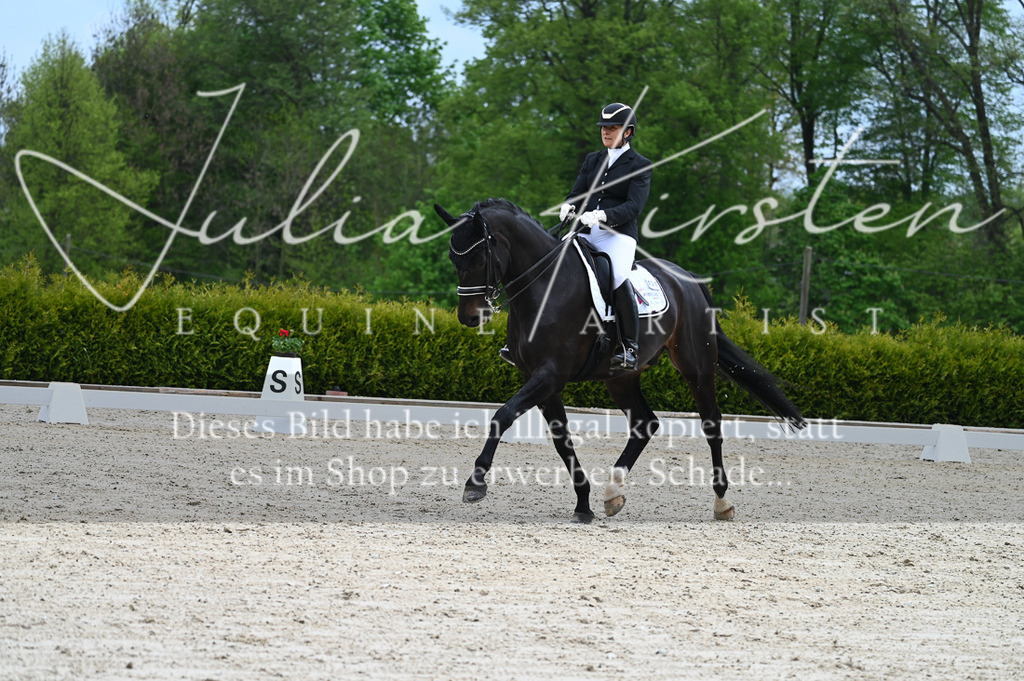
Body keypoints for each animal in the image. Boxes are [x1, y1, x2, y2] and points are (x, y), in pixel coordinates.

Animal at [436, 198, 805, 523]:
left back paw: (722, 502)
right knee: (645, 423)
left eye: (479, 257)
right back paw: (613, 493)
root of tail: (688, 279)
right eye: (454, 260)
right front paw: (583, 504)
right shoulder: (542, 380)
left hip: (696, 366)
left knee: (711, 423)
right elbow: (561, 440)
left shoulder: (550, 374)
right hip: (621, 377)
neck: (545, 287)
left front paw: (475, 484)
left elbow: (503, 416)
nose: (469, 317)